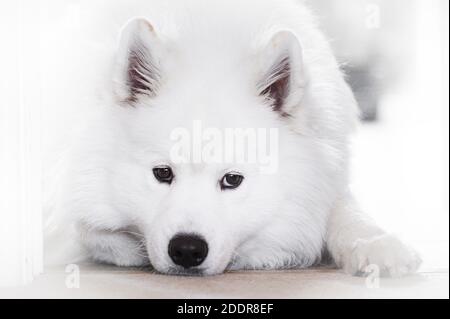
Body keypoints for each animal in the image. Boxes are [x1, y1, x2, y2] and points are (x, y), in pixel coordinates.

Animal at [44, 0, 420, 278]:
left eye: (232, 180)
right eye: (162, 173)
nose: (187, 250)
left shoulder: (325, 172)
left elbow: (342, 210)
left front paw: (376, 244)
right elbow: (84, 226)